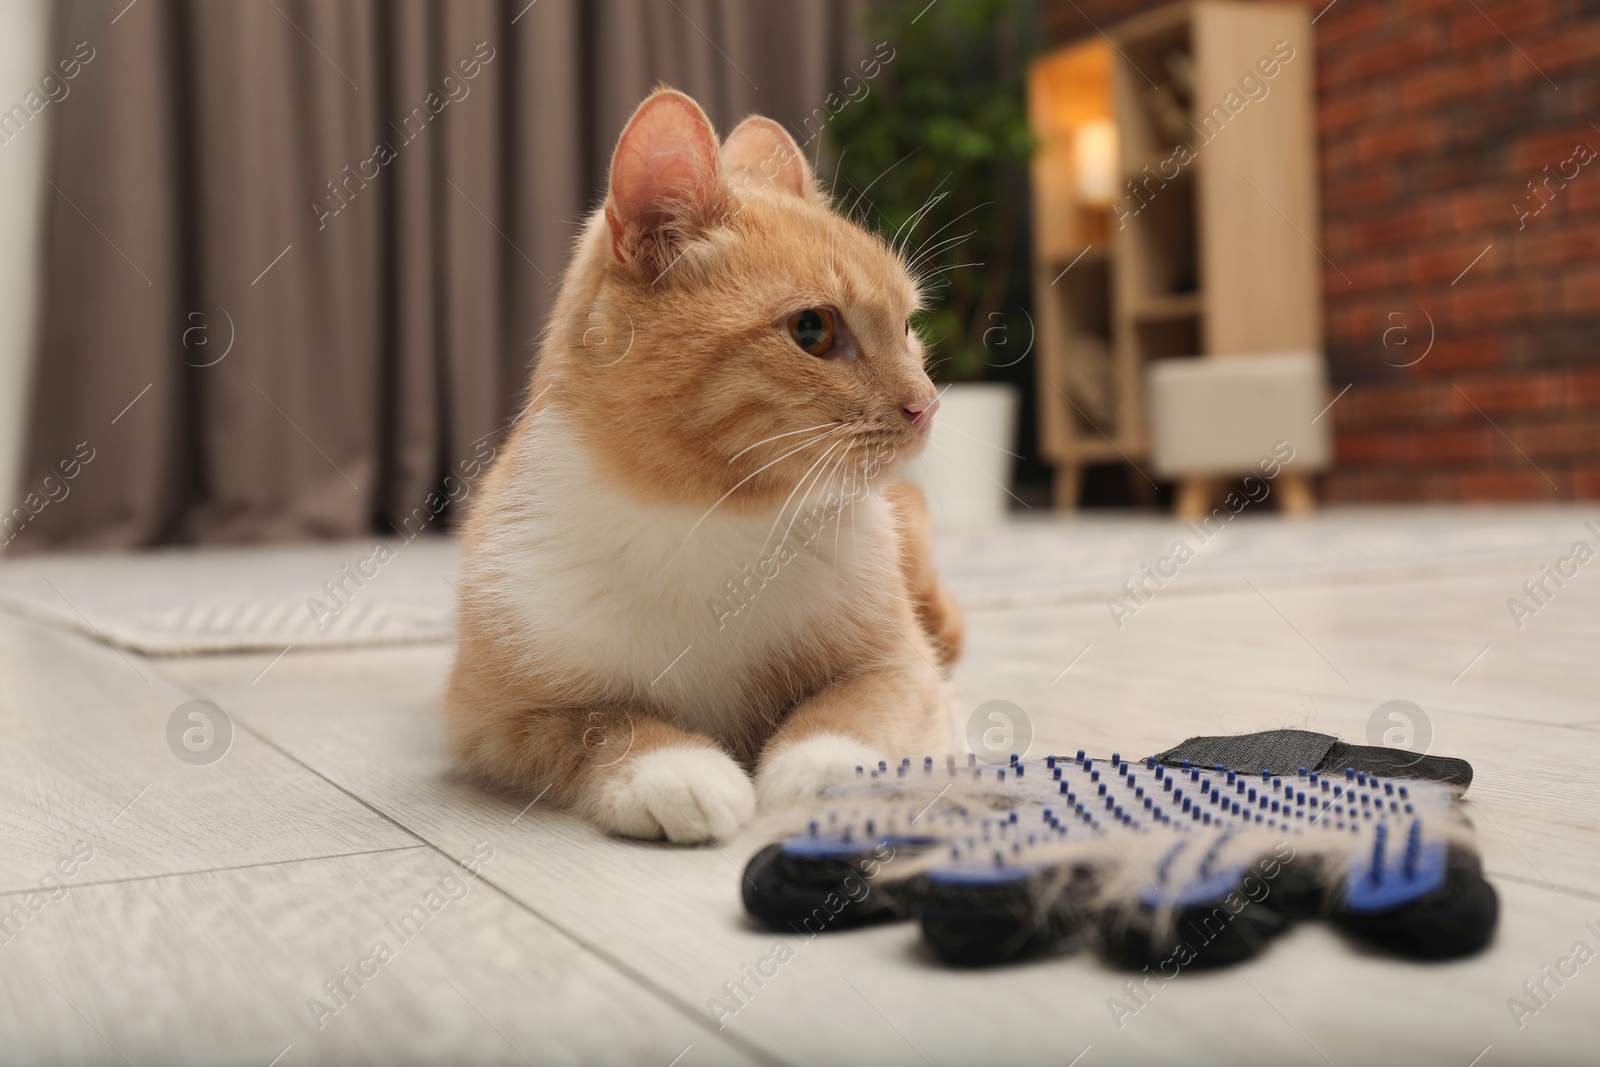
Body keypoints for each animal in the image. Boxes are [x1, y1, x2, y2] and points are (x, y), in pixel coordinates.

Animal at [441, 89, 960, 844]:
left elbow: (859, 704)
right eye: (813, 329)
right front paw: (673, 769)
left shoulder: (900, 664)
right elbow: (601, 723)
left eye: (908, 326)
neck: (708, 517)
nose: (927, 405)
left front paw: (821, 766)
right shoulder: (490, 713)